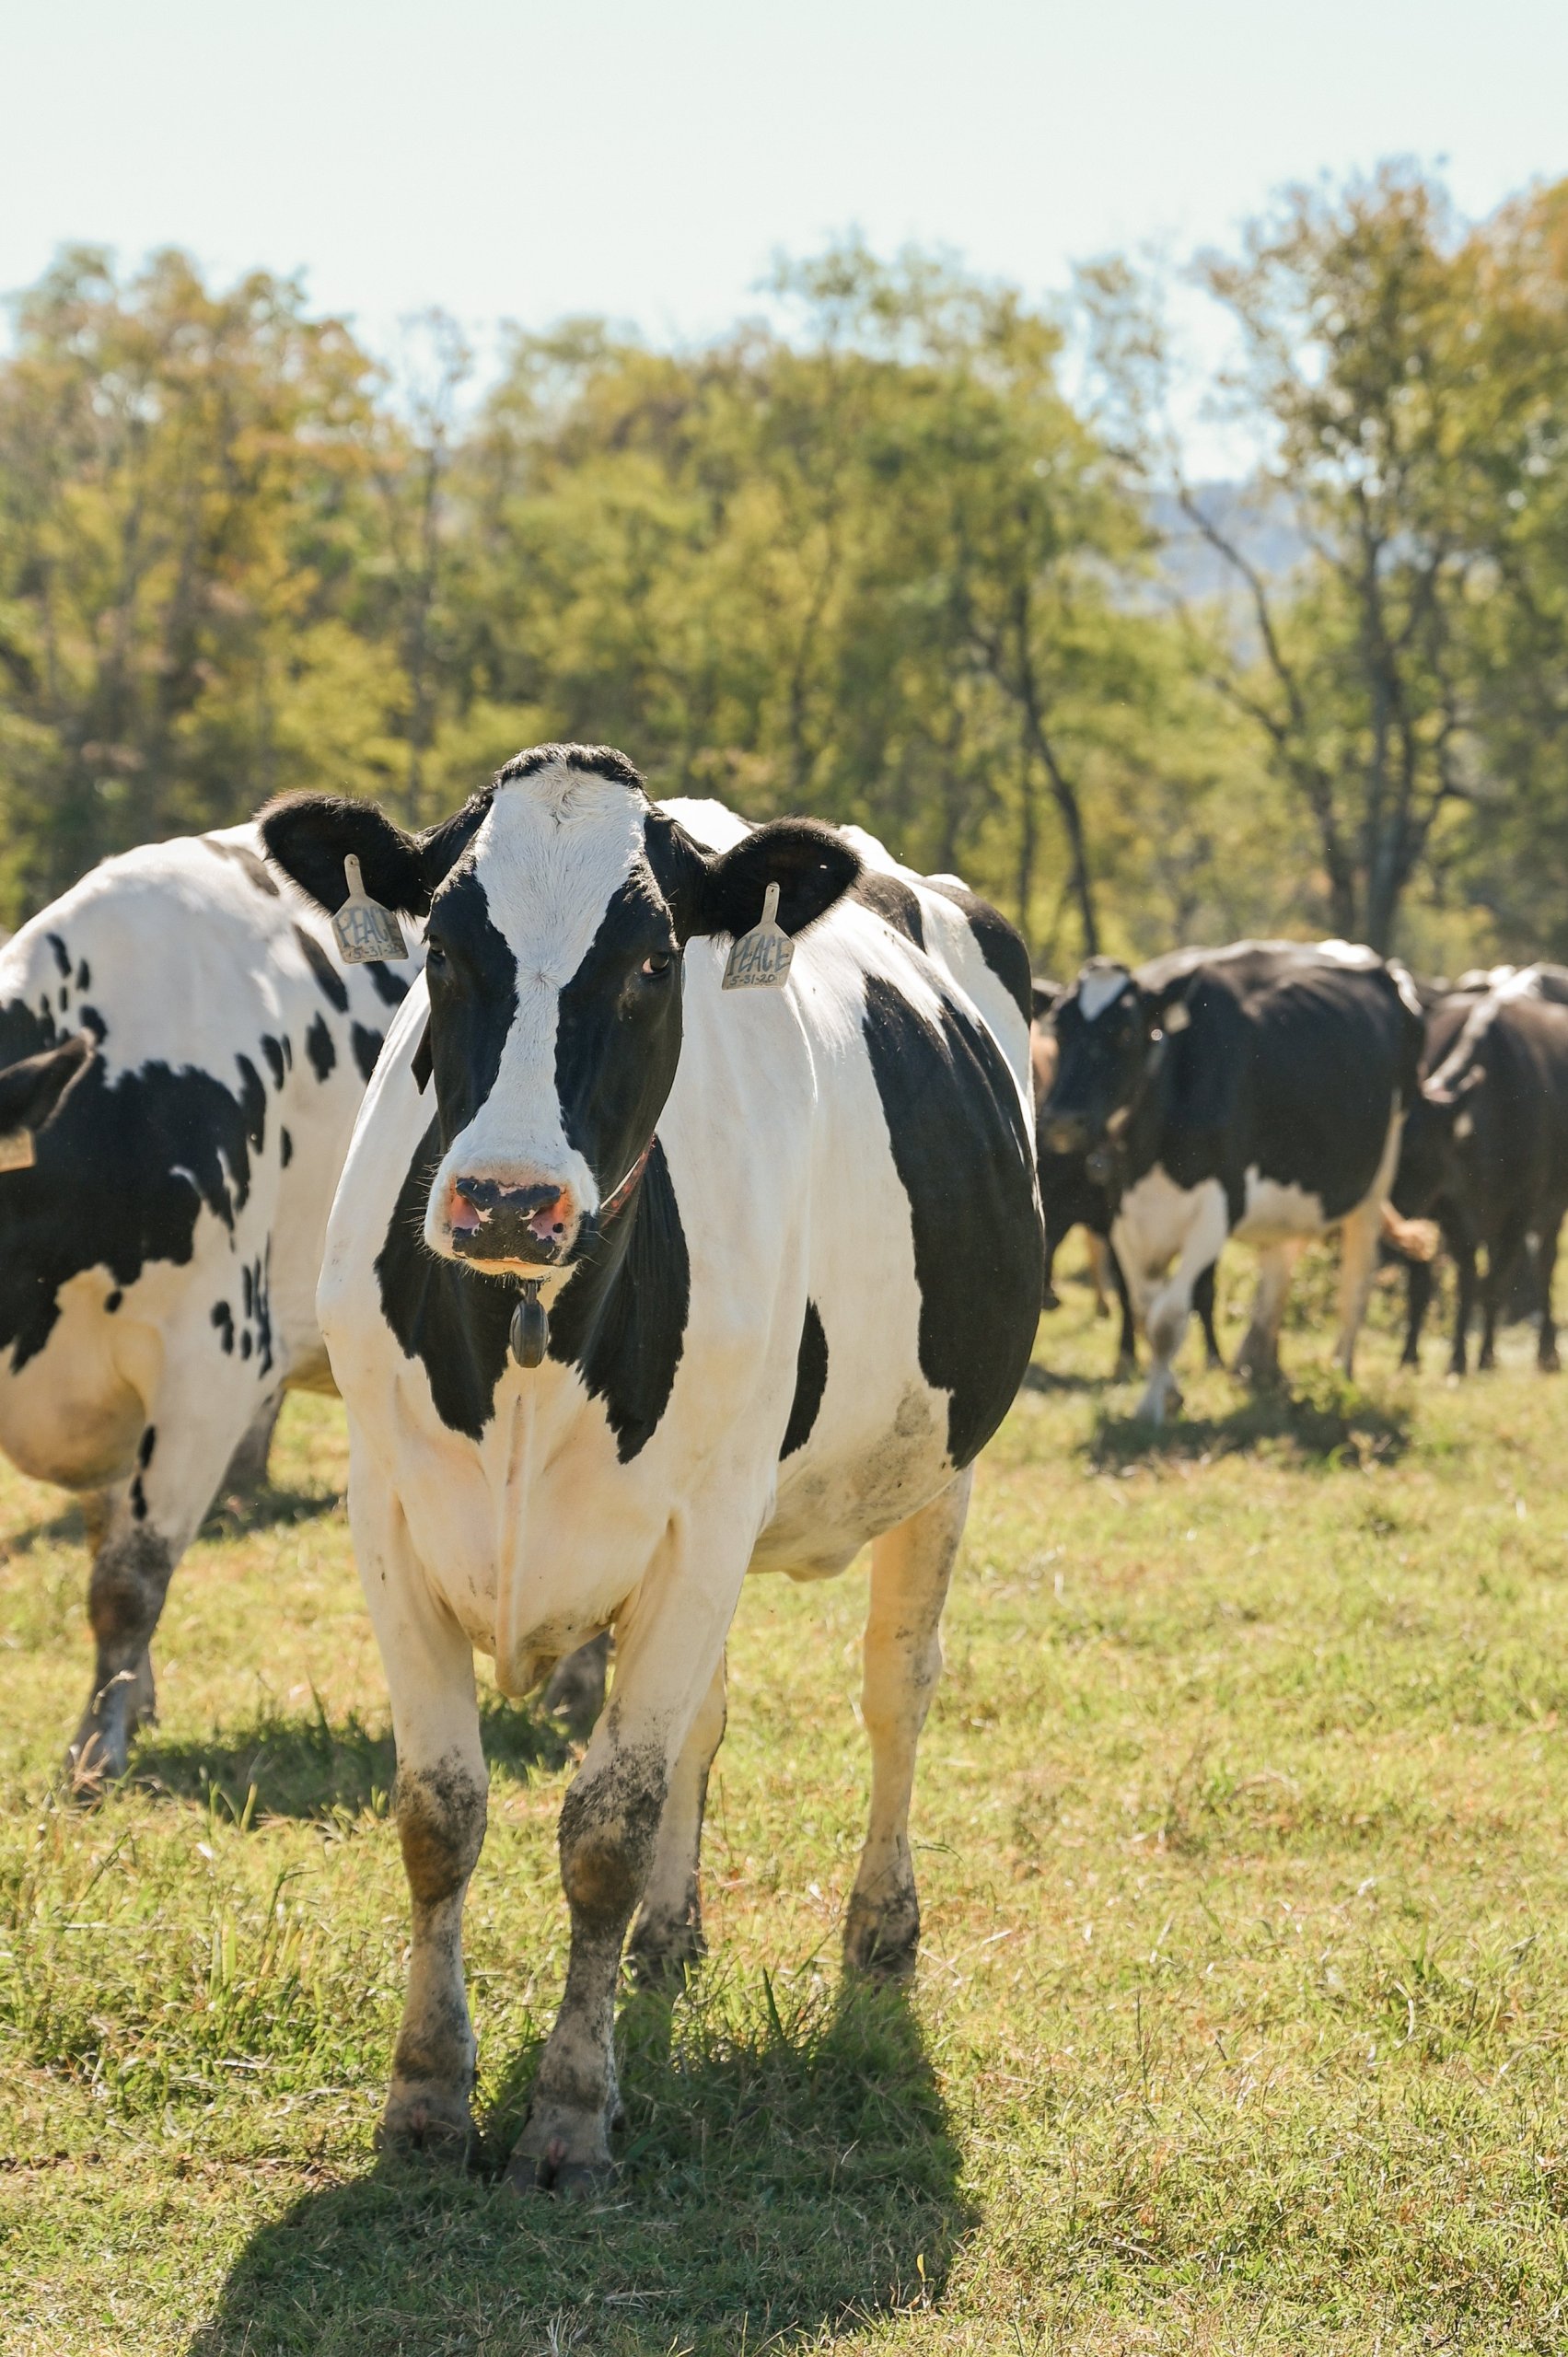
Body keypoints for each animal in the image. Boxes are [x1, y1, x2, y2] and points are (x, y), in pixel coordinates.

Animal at [258, 743, 1042, 2193]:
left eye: (649, 962)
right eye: (442, 949)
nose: (508, 1199)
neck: (527, 1333)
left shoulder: (702, 1524)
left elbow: (603, 1827)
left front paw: (571, 2109)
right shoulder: (387, 1513)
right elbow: (440, 1813)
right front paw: (426, 2096)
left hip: (936, 1469)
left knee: (896, 1689)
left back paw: (879, 1931)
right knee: (707, 1719)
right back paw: (672, 1940)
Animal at [1037, 942, 1424, 1423]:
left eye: (1125, 1033)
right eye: (1059, 1029)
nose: (1060, 1121)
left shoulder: (1215, 1209)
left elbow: (1167, 1319)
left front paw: (1151, 1407)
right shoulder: (1123, 1213)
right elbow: (1145, 1308)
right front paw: (1170, 1393)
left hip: (1375, 1183)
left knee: (1357, 1279)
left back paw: (1341, 1370)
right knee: (1279, 1265)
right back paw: (1258, 1364)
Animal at [1391, 968, 1568, 1374]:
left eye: (1418, 1154)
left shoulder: (1520, 1212)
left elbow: (1495, 1284)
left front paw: (1483, 1356)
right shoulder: (1445, 1211)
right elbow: (1439, 1283)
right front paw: (1423, 1356)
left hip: (1551, 1210)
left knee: (1544, 1266)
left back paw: (1547, 1351)